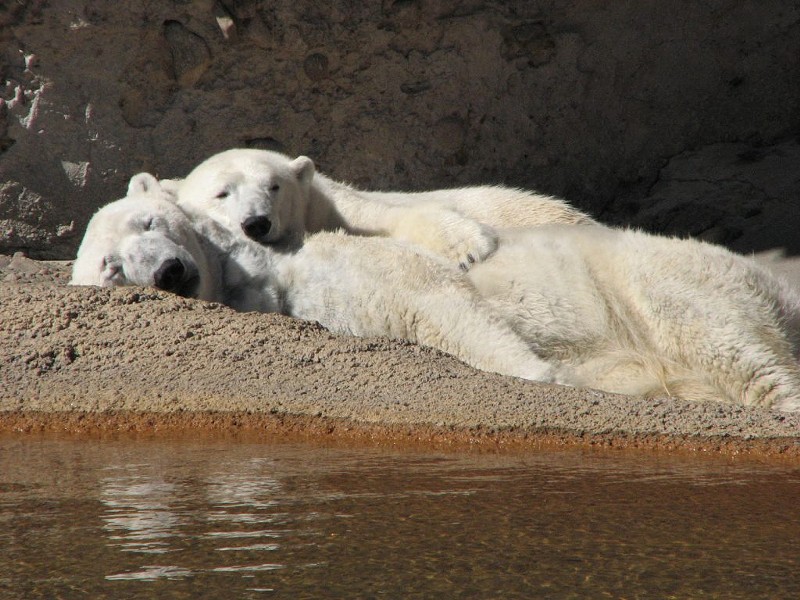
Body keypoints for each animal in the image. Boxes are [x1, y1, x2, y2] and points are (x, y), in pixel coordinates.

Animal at [178, 148, 596, 270]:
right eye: (222, 193)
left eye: (274, 186)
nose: (257, 223)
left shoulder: (334, 204)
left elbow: (390, 216)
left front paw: (469, 250)